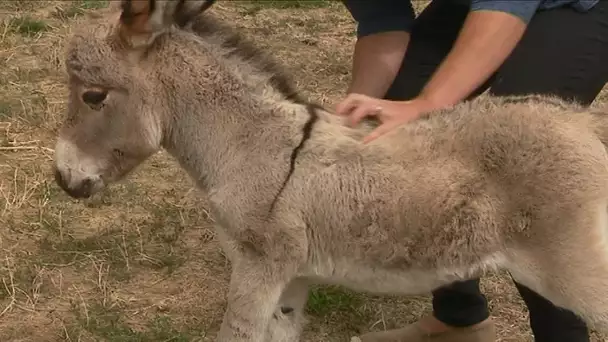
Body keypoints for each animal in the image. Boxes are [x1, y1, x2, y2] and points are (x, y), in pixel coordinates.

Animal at [53, 0, 608, 342]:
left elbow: (237, 333)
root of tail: (585, 122)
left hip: (576, 271)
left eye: (93, 96)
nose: (62, 179)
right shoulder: (292, 278)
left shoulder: (258, 265)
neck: (248, 144)